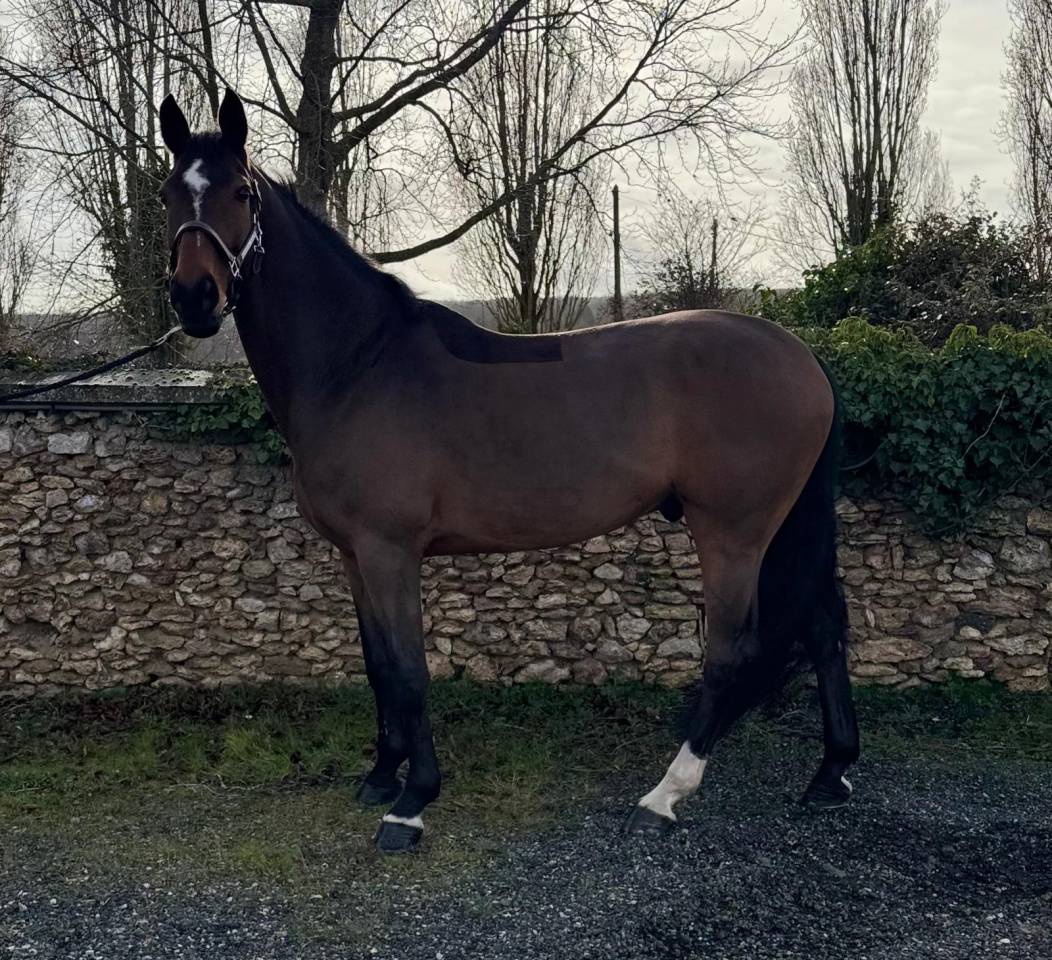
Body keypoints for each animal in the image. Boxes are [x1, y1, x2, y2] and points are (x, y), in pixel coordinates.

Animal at [158, 89, 860, 854]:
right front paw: (380, 775)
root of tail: (801, 355)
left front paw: (411, 804)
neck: (359, 365)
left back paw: (664, 795)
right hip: (781, 527)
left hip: (732, 531)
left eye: (241, 192)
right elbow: (377, 667)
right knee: (824, 625)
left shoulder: (389, 550)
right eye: (168, 193)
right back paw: (831, 775)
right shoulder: (354, 555)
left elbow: (409, 671)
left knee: (733, 651)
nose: (194, 298)